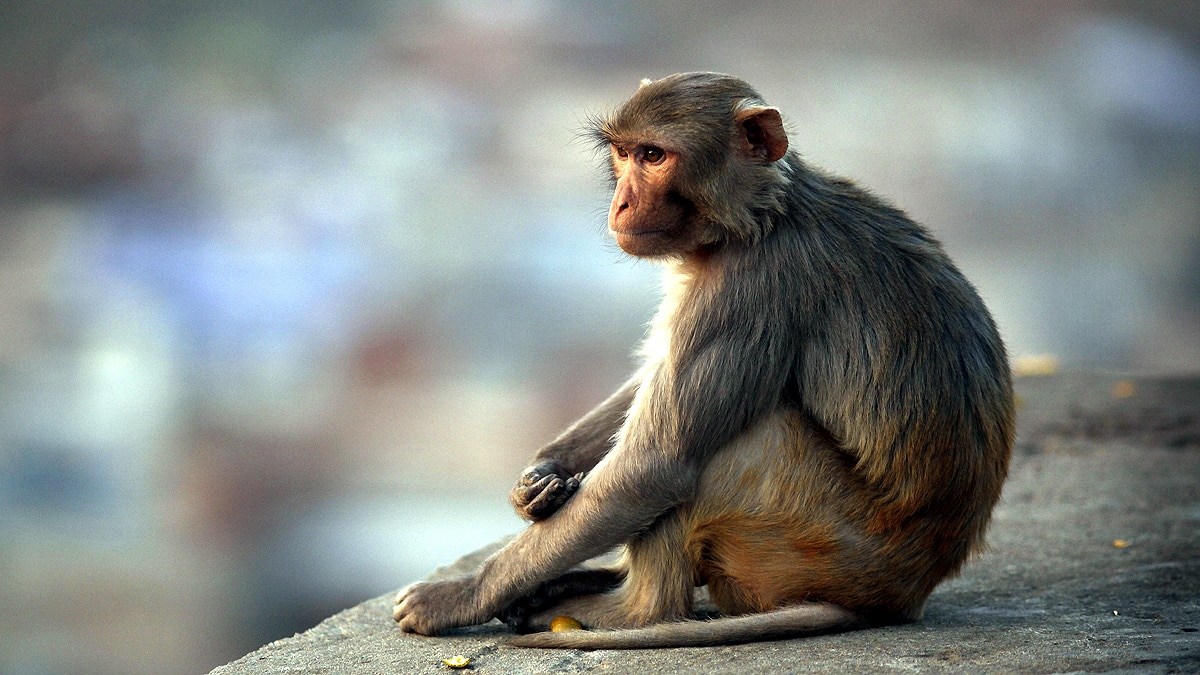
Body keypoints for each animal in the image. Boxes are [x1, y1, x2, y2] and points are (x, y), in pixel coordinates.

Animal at [393, 72, 1014, 649]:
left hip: (820, 543)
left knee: (740, 445)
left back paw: (633, 610)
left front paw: (457, 596)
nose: (622, 201)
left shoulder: (748, 288)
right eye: (624, 153)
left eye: (654, 156)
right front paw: (539, 478)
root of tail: (902, 593)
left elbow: (653, 467)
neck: (760, 216)